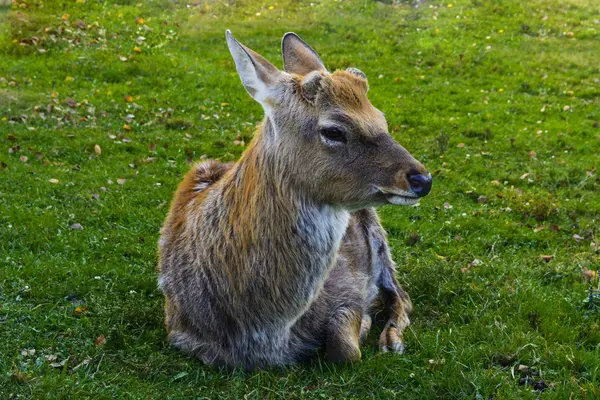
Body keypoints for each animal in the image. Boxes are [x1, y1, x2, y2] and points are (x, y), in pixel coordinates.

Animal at [157, 29, 434, 370]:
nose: (423, 179)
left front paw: (366, 325)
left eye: (380, 118)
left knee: (401, 294)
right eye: (333, 130)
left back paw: (392, 339)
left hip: (377, 234)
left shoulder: (349, 286)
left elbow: (345, 348)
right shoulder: (178, 330)